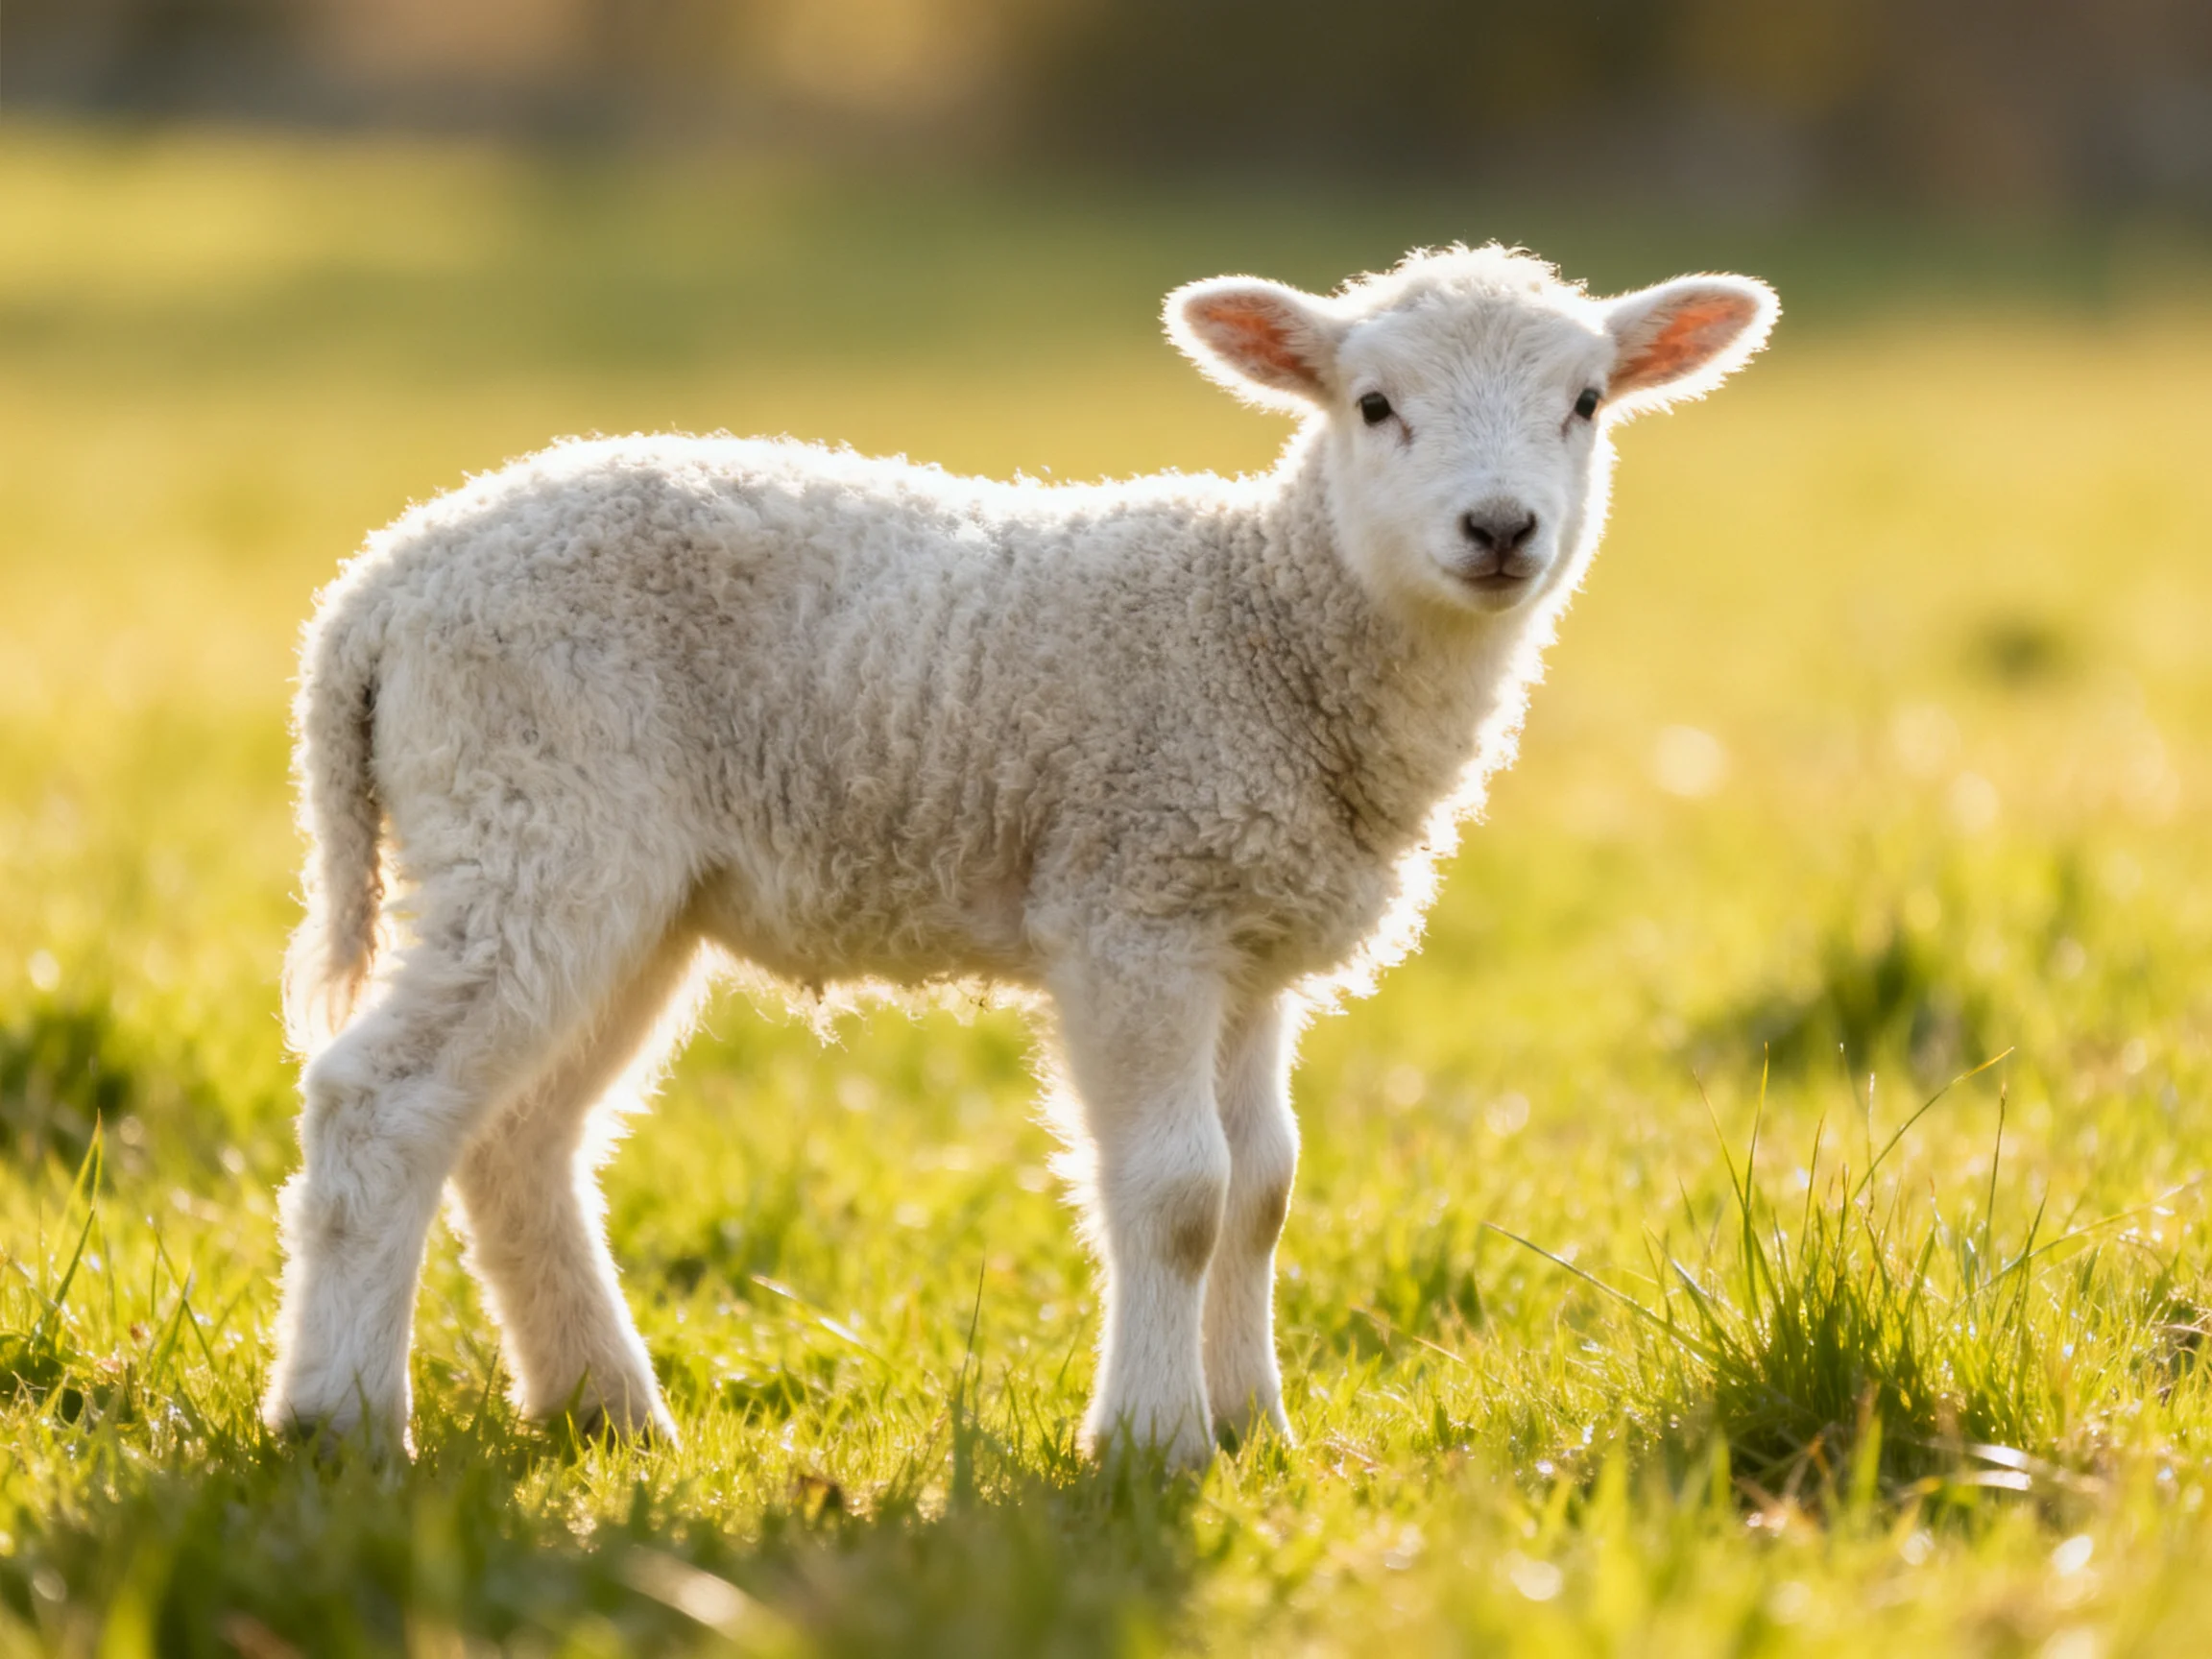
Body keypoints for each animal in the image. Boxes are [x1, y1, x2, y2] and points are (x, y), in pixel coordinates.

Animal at [261, 243, 1777, 1470]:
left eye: (1586, 403)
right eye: (1373, 404)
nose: (1502, 528)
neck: (1270, 622)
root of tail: (380, 588)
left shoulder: (1248, 939)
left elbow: (1265, 1187)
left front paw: (1255, 1426)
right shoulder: (1135, 909)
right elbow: (1179, 1194)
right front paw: (1154, 1441)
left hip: (622, 884)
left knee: (519, 1137)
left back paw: (604, 1410)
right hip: (534, 813)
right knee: (380, 1103)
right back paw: (342, 1419)